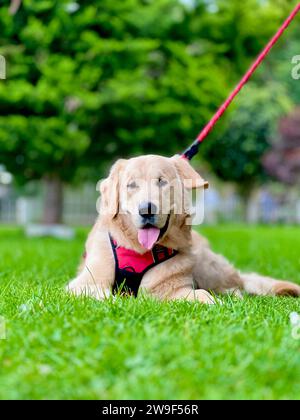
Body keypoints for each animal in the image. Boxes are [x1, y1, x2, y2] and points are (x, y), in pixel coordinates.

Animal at [67, 154, 300, 302]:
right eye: (131, 185)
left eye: (161, 182)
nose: (146, 210)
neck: (141, 251)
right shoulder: (81, 284)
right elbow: (104, 295)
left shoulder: (175, 288)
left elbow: (202, 295)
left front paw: (213, 302)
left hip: (208, 267)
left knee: (239, 283)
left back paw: (233, 294)